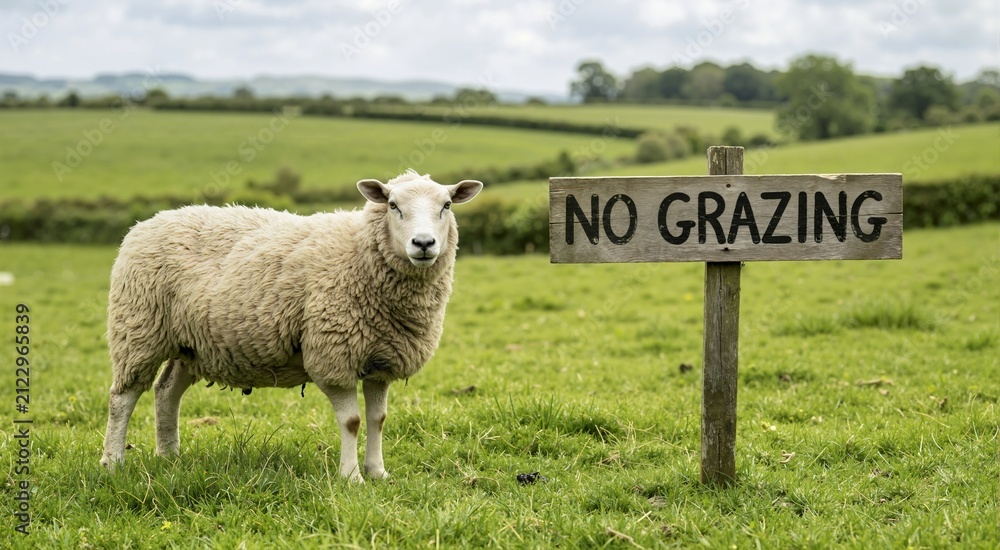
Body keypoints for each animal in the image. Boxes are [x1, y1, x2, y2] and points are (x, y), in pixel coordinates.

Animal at [99, 170, 483, 481]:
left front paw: (378, 472)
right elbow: (352, 422)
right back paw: (113, 462)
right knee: (123, 397)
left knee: (166, 391)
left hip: (191, 344)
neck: (359, 252)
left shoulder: (381, 361)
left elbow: (378, 419)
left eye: (447, 205)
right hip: (138, 328)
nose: (424, 244)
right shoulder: (333, 354)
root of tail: (147, 222)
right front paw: (351, 477)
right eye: (392, 205)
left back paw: (169, 456)